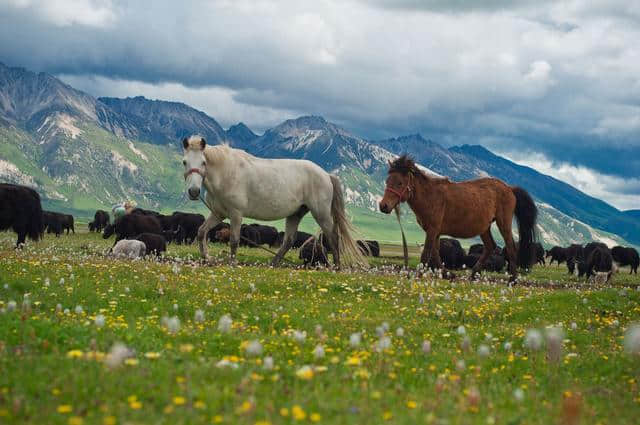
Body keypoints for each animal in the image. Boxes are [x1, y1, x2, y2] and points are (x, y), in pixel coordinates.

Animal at [180, 134, 362, 266]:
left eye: (203, 162)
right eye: (184, 162)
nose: (194, 192)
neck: (226, 172)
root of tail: (326, 174)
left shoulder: (236, 214)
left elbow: (234, 240)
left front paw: (232, 263)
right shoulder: (218, 213)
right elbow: (201, 232)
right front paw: (207, 258)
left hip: (321, 213)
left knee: (333, 236)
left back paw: (336, 266)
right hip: (295, 214)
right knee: (289, 240)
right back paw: (273, 263)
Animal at [382, 156, 536, 282]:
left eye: (400, 183)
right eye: (387, 181)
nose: (383, 206)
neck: (430, 196)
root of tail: (509, 188)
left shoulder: (432, 230)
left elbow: (426, 254)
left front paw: (418, 276)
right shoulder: (435, 232)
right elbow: (435, 254)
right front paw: (448, 274)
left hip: (503, 223)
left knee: (510, 247)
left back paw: (512, 280)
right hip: (484, 227)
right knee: (490, 246)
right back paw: (473, 275)